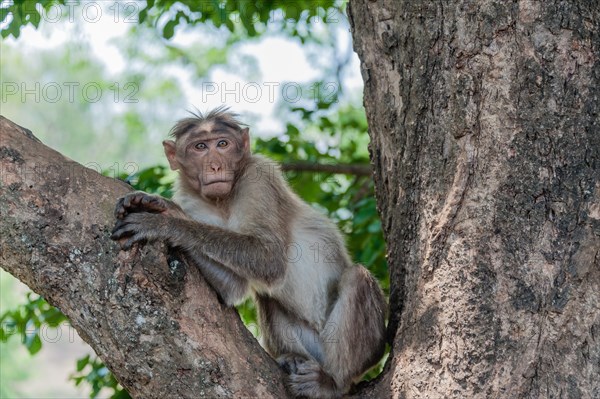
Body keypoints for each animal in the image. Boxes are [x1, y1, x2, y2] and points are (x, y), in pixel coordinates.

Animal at [110, 108, 386, 398]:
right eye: (200, 147)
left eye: (222, 144)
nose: (215, 165)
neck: (222, 201)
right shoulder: (193, 201)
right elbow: (233, 288)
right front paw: (162, 207)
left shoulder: (259, 177)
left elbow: (269, 259)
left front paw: (163, 221)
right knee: (268, 298)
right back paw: (292, 358)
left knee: (356, 277)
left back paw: (333, 383)